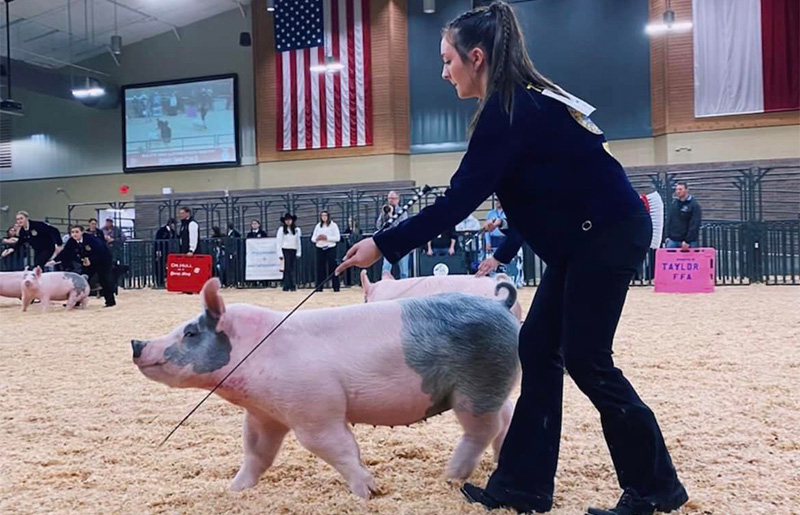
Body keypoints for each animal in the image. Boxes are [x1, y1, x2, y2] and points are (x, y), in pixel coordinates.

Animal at [133, 280, 520, 498]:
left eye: (190, 332)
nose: (137, 343)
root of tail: (500, 306)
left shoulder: (315, 410)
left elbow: (336, 447)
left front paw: (369, 492)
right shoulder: (264, 414)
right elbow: (257, 453)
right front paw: (234, 490)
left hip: (475, 386)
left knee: (482, 429)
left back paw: (451, 475)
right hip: (493, 386)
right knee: (507, 417)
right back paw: (496, 461)